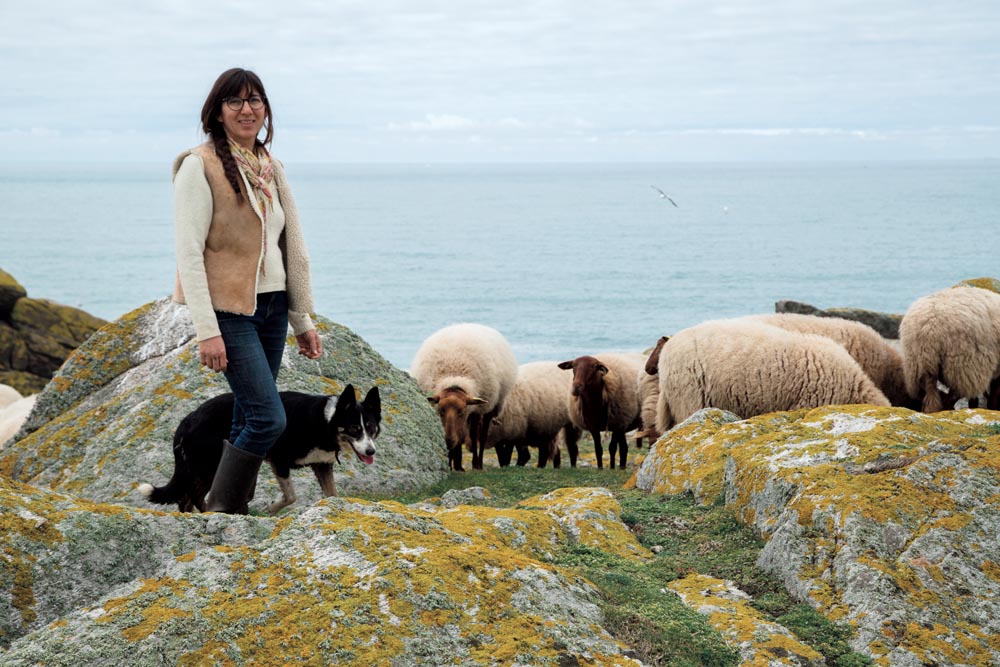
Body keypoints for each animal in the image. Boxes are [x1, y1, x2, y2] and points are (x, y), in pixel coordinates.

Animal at [408, 322, 516, 470]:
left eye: (461, 412)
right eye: (440, 411)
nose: (448, 441)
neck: (454, 378)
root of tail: (469, 324)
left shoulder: (475, 411)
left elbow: (473, 435)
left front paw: (472, 463)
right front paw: (451, 463)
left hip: (490, 406)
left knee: (482, 435)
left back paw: (478, 463)